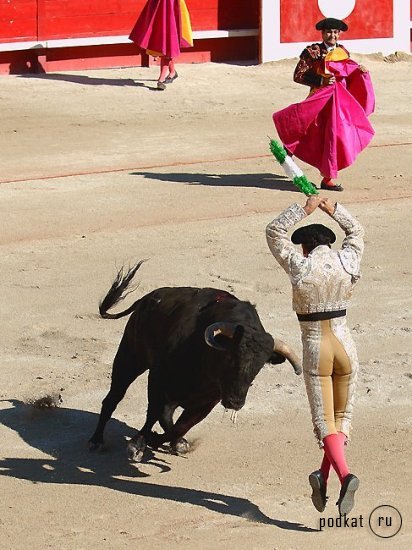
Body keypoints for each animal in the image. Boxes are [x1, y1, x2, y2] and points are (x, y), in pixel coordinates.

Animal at [88, 264, 300, 462]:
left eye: (259, 367)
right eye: (230, 357)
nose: (235, 402)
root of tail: (146, 299)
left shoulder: (208, 401)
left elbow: (182, 425)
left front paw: (169, 441)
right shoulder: (158, 378)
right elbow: (154, 412)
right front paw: (137, 446)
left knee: (167, 415)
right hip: (130, 358)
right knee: (113, 398)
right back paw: (97, 440)